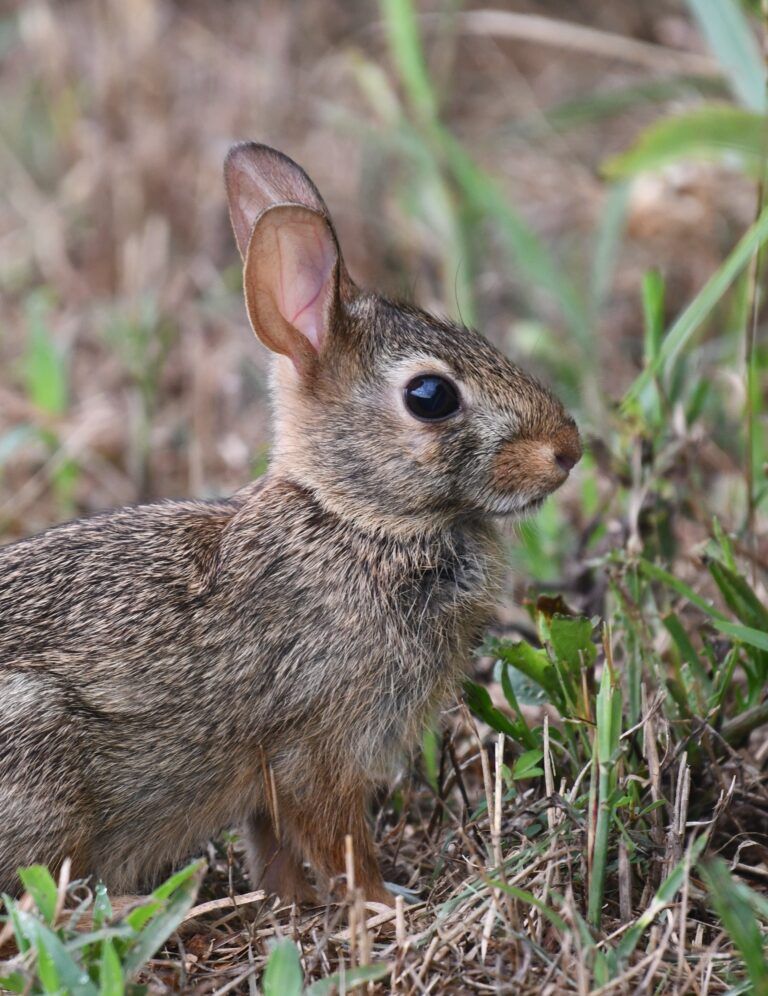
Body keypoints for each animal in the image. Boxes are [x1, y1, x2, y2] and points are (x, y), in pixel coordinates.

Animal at [0, 143, 581, 907]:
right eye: (430, 396)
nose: (568, 449)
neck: (355, 520)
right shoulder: (318, 746)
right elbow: (339, 840)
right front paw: (383, 905)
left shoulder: (268, 785)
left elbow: (273, 846)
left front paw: (296, 905)